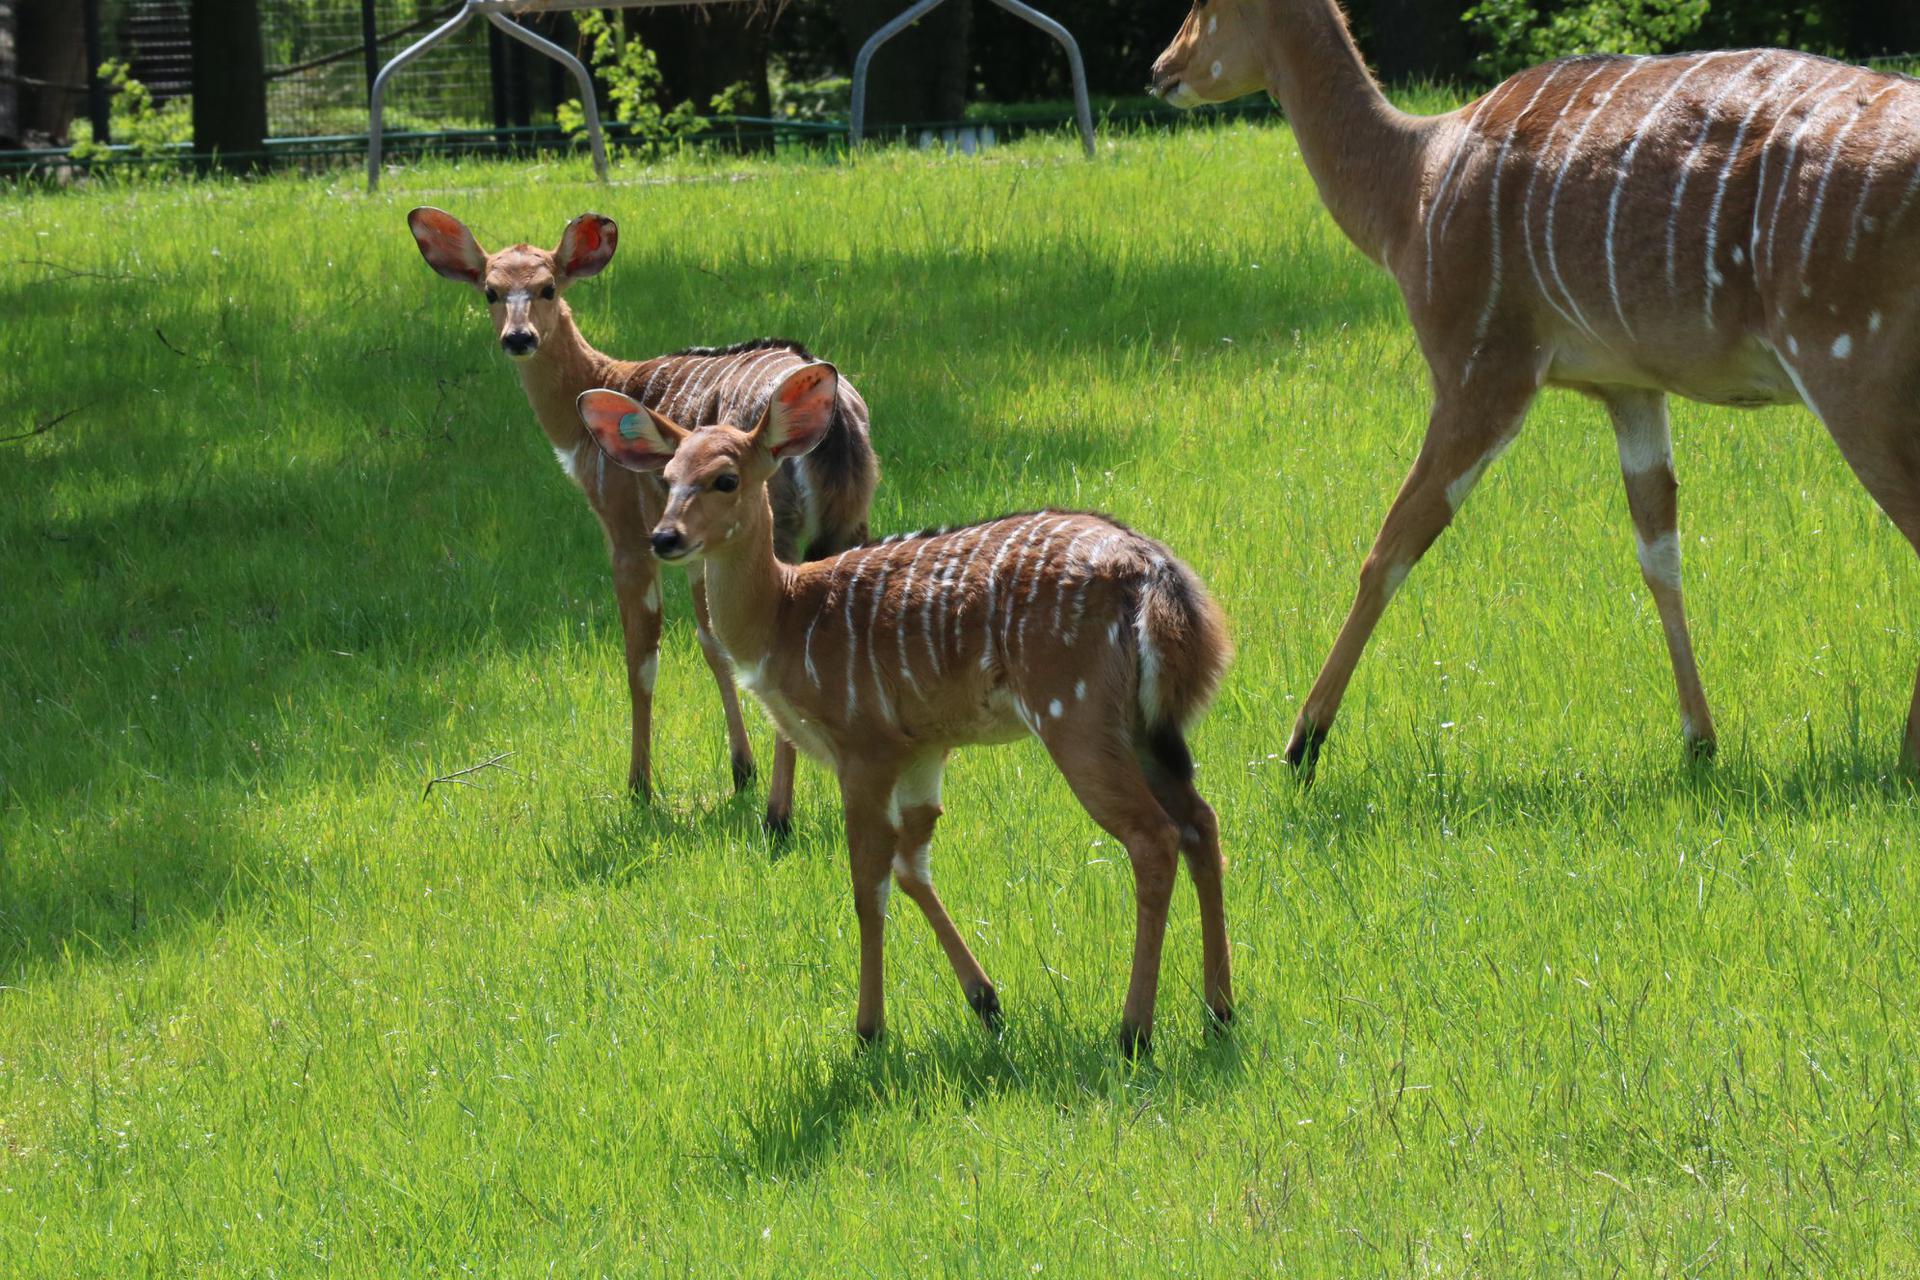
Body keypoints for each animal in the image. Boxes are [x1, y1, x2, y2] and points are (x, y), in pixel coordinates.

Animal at [412, 208, 883, 832]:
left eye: (548, 286)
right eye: (490, 290)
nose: (519, 337)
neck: (582, 426)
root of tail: (839, 429)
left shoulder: (628, 533)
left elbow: (642, 661)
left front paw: (639, 786)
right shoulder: (696, 546)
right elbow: (712, 643)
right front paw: (740, 770)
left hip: (776, 521)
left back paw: (779, 814)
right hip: (853, 514)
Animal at [576, 362, 1228, 1059]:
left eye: (725, 478)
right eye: (668, 477)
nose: (664, 537)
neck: (783, 620)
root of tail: (1156, 578)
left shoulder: (863, 741)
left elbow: (868, 884)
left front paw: (868, 1030)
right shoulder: (922, 748)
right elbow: (913, 868)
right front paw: (986, 1002)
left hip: (1074, 710)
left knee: (1154, 837)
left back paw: (1134, 1031)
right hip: (1147, 726)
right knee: (1201, 821)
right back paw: (1220, 1011)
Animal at [1144, 0, 1920, 782]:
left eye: (1205, 6)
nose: (1160, 70)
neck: (1410, 186)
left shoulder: (1480, 369)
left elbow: (1391, 545)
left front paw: (1303, 746)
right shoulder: (1630, 389)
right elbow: (1659, 551)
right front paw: (1699, 743)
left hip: (1849, 372)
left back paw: (1906, 754)